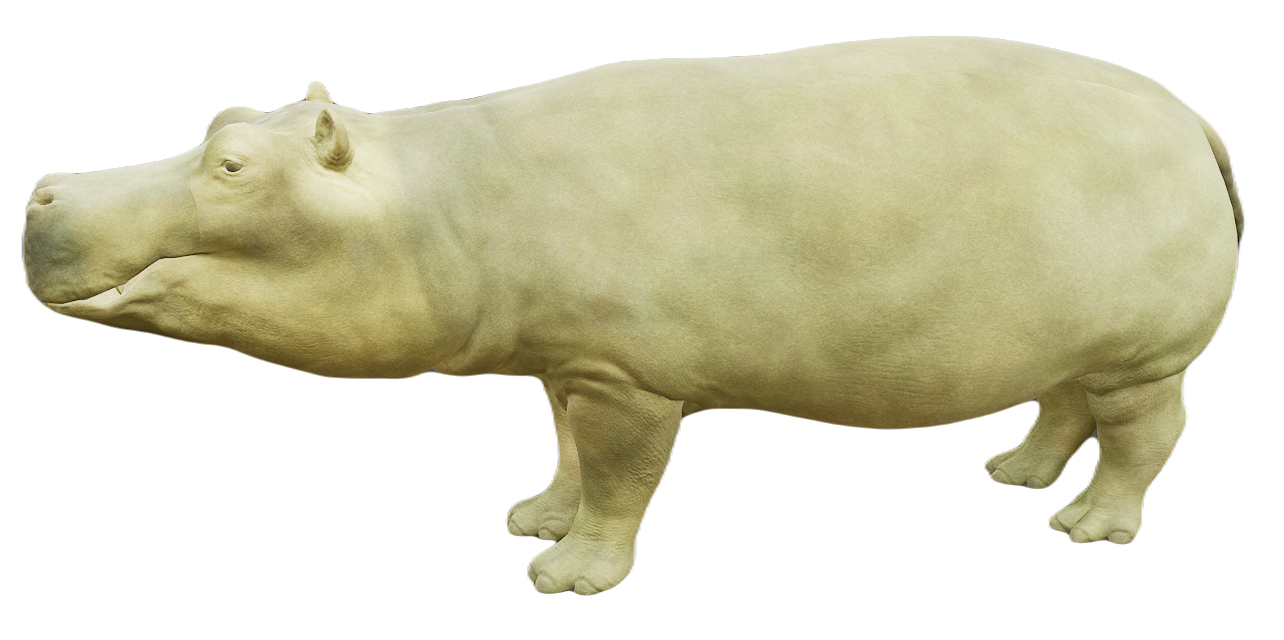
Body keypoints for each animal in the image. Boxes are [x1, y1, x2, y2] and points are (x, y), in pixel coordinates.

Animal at [23, 36, 1243, 595]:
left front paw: (566, 576)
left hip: (1148, 354)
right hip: (1074, 339)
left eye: (231, 164)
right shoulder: (565, 360)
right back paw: (1013, 476)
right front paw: (531, 519)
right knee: (1062, 405)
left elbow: (620, 477)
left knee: (1148, 437)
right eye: (225, 117)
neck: (437, 196)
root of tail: (1191, 119)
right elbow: (563, 453)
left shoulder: (630, 378)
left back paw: (1085, 529)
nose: (44, 185)